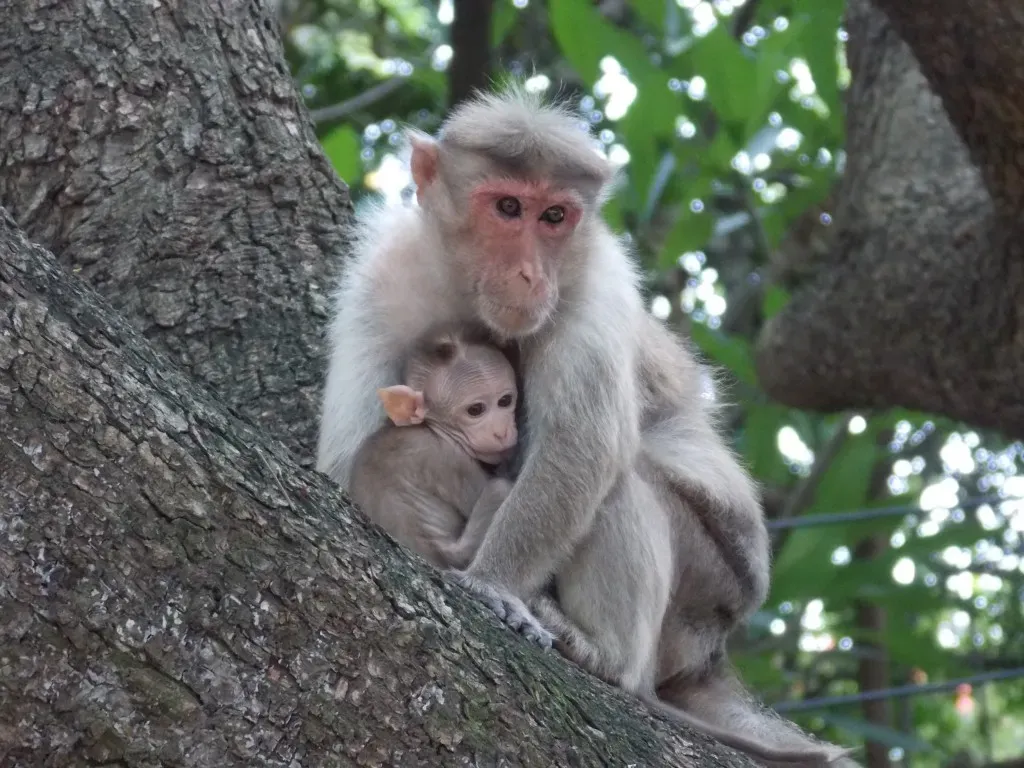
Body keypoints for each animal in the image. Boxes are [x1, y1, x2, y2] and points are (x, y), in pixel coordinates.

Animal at [316, 84, 857, 765]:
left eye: (555, 217)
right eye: (509, 207)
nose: (530, 274)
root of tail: (709, 655)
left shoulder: (593, 286)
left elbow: (580, 450)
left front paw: (493, 585)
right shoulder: (383, 276)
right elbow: (344, 456)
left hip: (705, 595)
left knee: (622, 478)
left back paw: (605, 655)